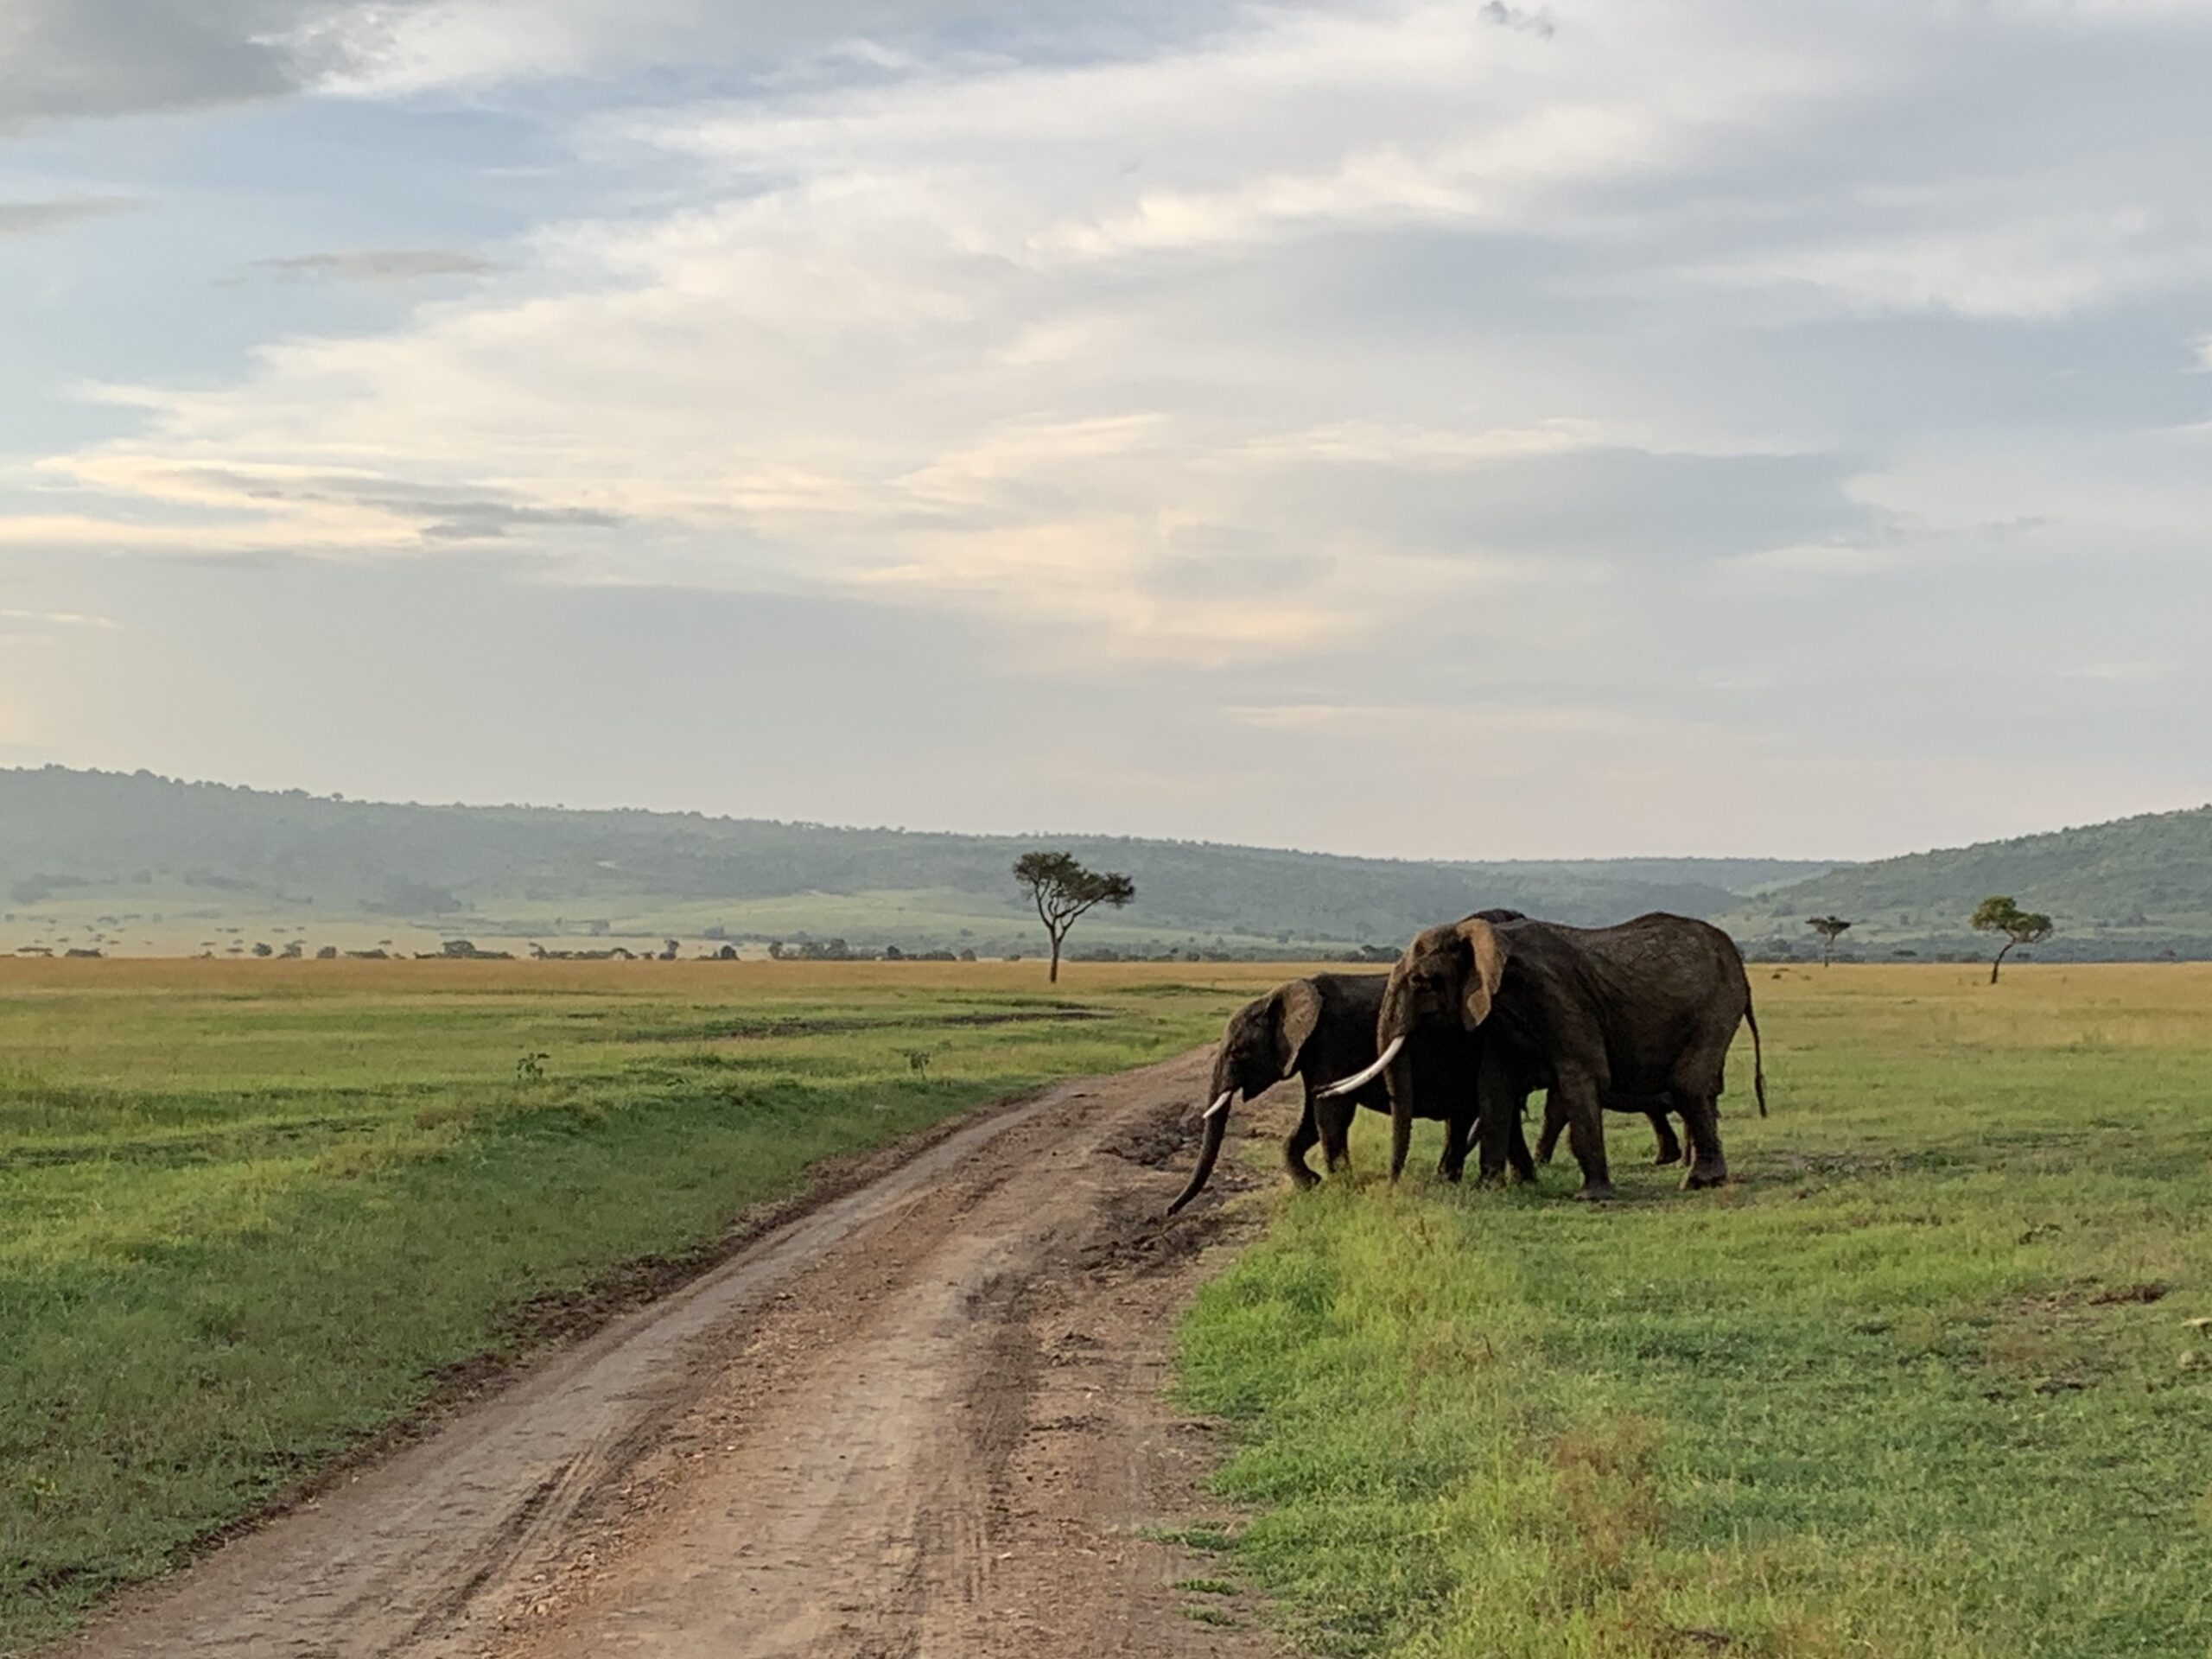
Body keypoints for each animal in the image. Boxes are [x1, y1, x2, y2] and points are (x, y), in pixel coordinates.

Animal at [1159, 973, 1522, 1221]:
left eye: (1237, 1052)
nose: (1168, 1212)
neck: (1282, 995)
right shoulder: (1310, 1052)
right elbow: (1309, 1118)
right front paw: (1312, 1184)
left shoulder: (1332, 1040)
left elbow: (1330, 1112)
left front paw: (1341, 1187)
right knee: (1460, 1120)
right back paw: (1448, 1181)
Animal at [1318, 915, 1770, 1203]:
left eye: (1421, 982)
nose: (1389, 1188)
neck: (1479, 932)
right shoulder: (1496, 1012)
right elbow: (1494, 1088)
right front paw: (1490, 1189)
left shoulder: (1557, 995)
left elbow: (1581, 1077)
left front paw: (1592, 1197)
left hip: (1717, 1005)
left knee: (1688, 1084)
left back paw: (1698, 1182)